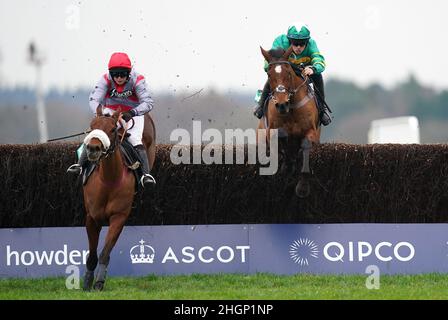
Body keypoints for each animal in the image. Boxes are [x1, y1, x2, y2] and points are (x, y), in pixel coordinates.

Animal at [83, 106, 157, 292]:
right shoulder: (91, 218)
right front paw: (87, 282)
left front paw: (99, 282)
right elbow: (92, 254)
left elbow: (105, 252)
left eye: (111, 129)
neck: (108, 179)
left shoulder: (119, 217)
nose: (93, 148)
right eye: (92, 126)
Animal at [260, 46, 322, 196]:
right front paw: (286, 167)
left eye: (288, 73)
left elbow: (305, 150)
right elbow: (282, 143)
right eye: (269, 75)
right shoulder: (273, 130)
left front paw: (303, 187)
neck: (291, 109)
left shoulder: (310, 132)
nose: (282, 104)